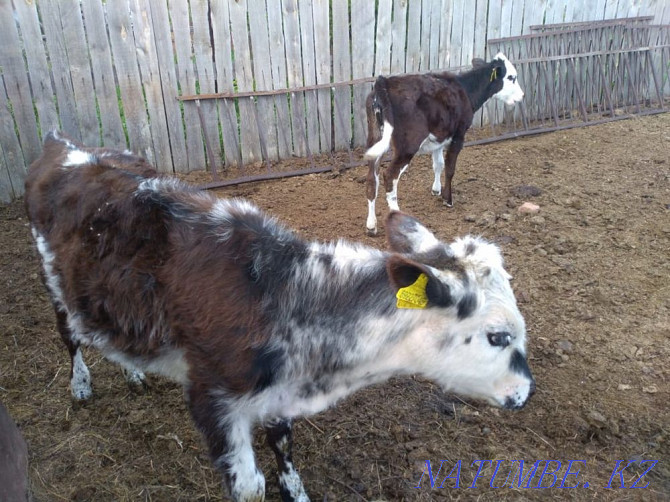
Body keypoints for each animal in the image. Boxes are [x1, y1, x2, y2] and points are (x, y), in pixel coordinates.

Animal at [364, 52, 528, 235]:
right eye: (511, 77)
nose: (522, 95)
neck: (465, 90)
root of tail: (384, 82)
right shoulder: (459, 135)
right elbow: (450, 168)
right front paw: (448, 199)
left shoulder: (440, 137)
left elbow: (438, 164)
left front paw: (436, 190)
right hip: (407, 145)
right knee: (390, 176)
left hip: (375, 138)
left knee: (372, 179)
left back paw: (371, 225)